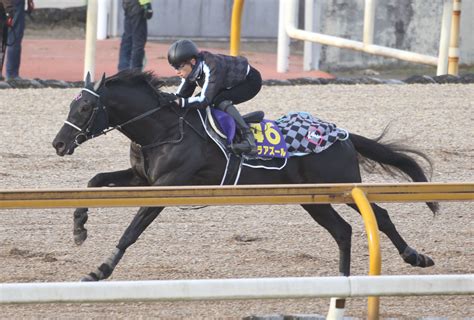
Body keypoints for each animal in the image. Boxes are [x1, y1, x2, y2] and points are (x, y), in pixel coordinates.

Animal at [51, 70, 436, 282]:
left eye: (85, 107)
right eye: (71, 105)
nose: (59, 143)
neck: (163, 129)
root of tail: (341, 134)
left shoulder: (165, 187)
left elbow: (132, 231)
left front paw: (101, 269)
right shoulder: (141, 180)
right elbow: (94, 181)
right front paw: (79, 228)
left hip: (340, 185)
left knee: (379, 216)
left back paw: (414, 255)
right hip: (312, 198)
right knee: (342, 230)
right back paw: (343, 280)